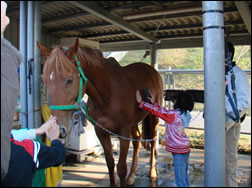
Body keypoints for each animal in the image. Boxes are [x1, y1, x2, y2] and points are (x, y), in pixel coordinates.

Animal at [37, 38, 163, 187]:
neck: (107, 93)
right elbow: (110, 163)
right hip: (134, 122)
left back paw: (152, 172)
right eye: (45, 80)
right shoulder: (101, 132)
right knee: (137, 141)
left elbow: (121, 168)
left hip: (154, 115)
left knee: (153, 140)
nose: (57, 128)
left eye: (69, 80)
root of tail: (152, 70)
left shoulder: (123, 131)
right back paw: (132, 175)